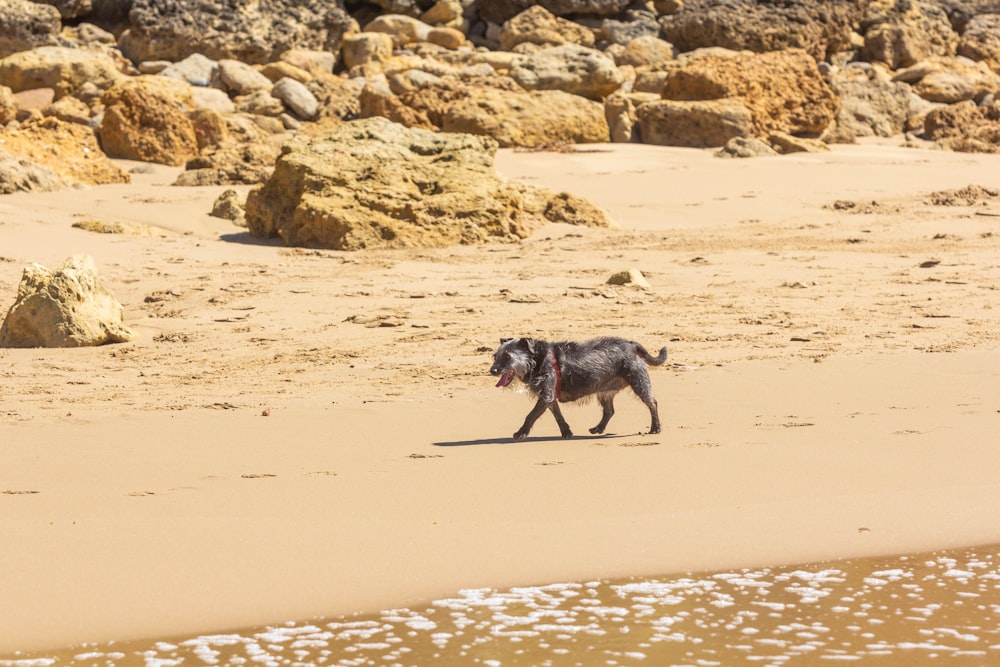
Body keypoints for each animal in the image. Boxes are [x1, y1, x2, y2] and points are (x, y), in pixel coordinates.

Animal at [490, 336, 668, 440]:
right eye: (495, 356)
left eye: (507, 356)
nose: (492, 371)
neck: (538, 359)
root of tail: (631, 345)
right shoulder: (549, 397)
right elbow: (558, 416)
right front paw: (566, 432)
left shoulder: (546, 395)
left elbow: (531, 415)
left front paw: (521, 432)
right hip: (605, 391)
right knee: (609, 411)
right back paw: (598, 428)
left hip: (639, 382)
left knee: (653, 403)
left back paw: (655, 428)